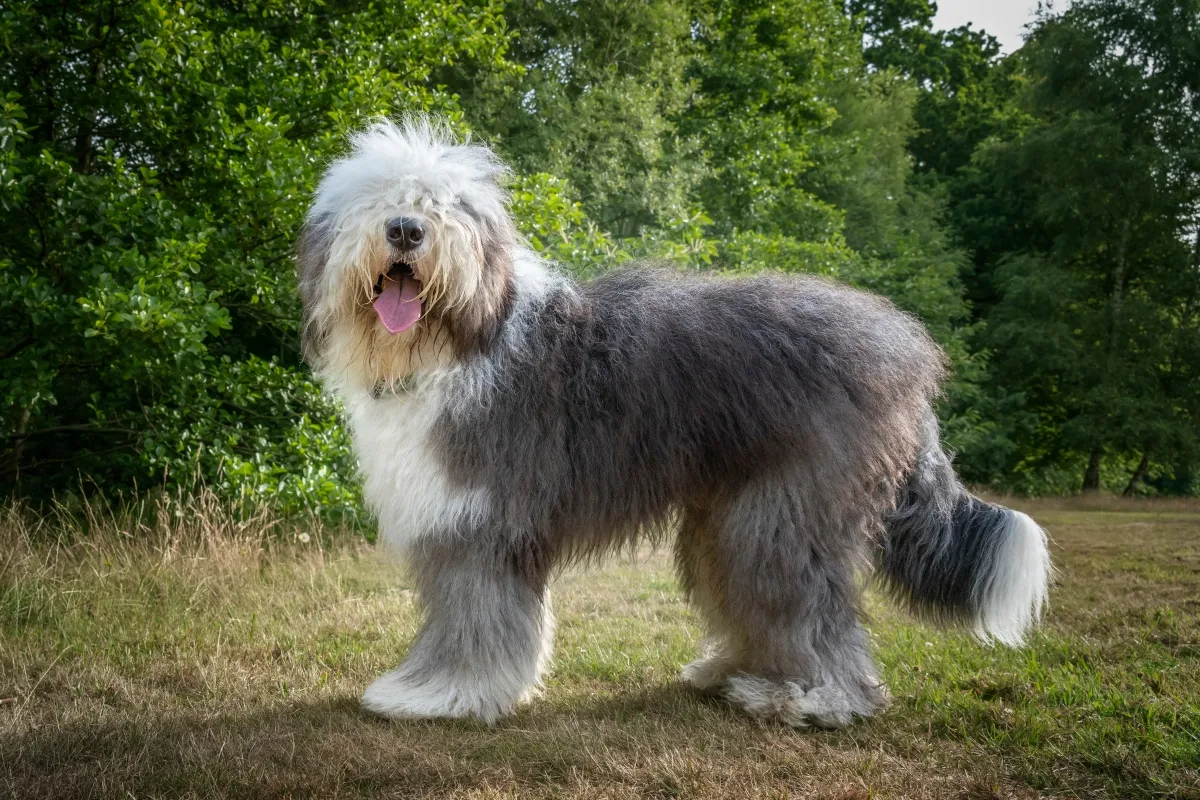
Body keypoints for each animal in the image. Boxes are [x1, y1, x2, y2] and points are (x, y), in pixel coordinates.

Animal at [297, 117, 1051, 724]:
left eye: (447, 207)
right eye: (376, 200)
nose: (405, 229)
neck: (460, 341)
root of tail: (906, 359)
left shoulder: (479, 522)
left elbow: (472, 616)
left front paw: (440, 695)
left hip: (787, 510)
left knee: (807, 605)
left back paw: (814, 699)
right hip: (732, 509)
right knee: (748, 593)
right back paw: (734, 671)